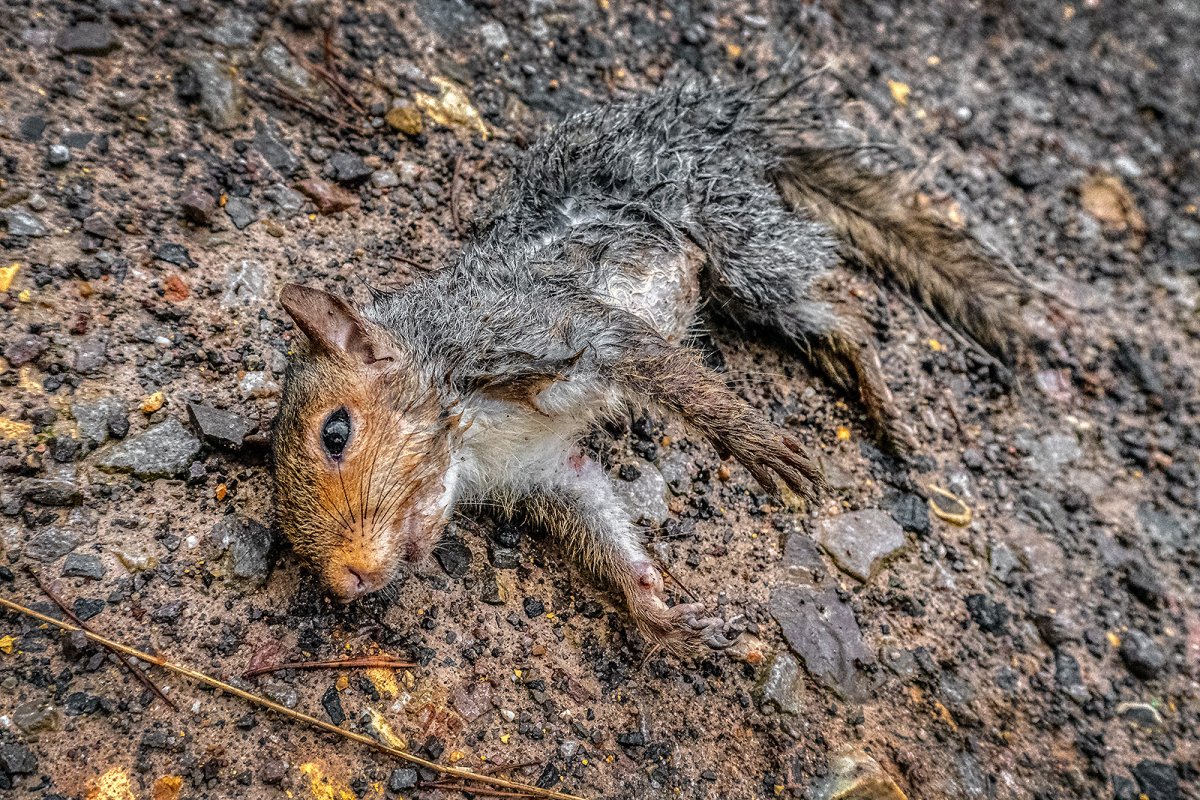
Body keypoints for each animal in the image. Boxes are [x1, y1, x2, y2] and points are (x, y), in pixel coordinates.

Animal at [274, 82, 1032, 652]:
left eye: (336, 433)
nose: (344, 583)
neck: (470, 430)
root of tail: (712, 128)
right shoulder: (545, 470)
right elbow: (600, 521)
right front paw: (659, 613)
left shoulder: (555, 330)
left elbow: (673, 376)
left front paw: (759, 446)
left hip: (739, 241)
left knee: (839, 317)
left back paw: (881, 401)